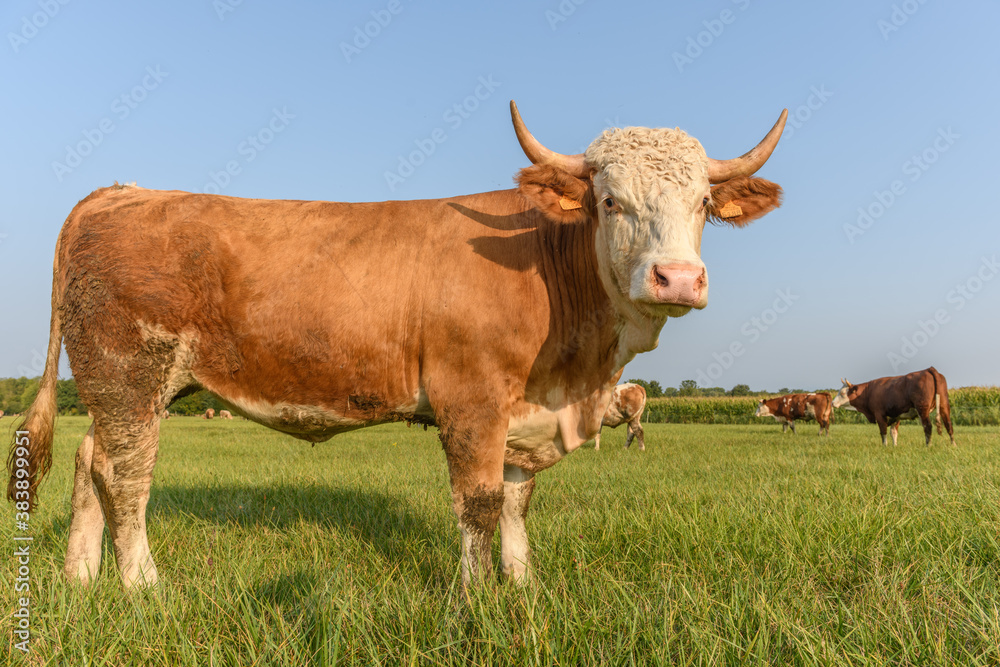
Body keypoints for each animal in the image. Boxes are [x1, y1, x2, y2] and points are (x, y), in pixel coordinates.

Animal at [5, 100, 788, 588]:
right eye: (609, 200)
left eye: (704, 205)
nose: (677, 278)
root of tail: (121, 191)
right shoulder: (471, 400)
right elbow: (479, 504)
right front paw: (474, 599)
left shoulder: (524, 413)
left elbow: (517, 502)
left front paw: (523, 587)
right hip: (128, 371)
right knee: (127, 477)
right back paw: (143, 586)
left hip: (130, 387)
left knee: (89, 461)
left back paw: (81, 578)